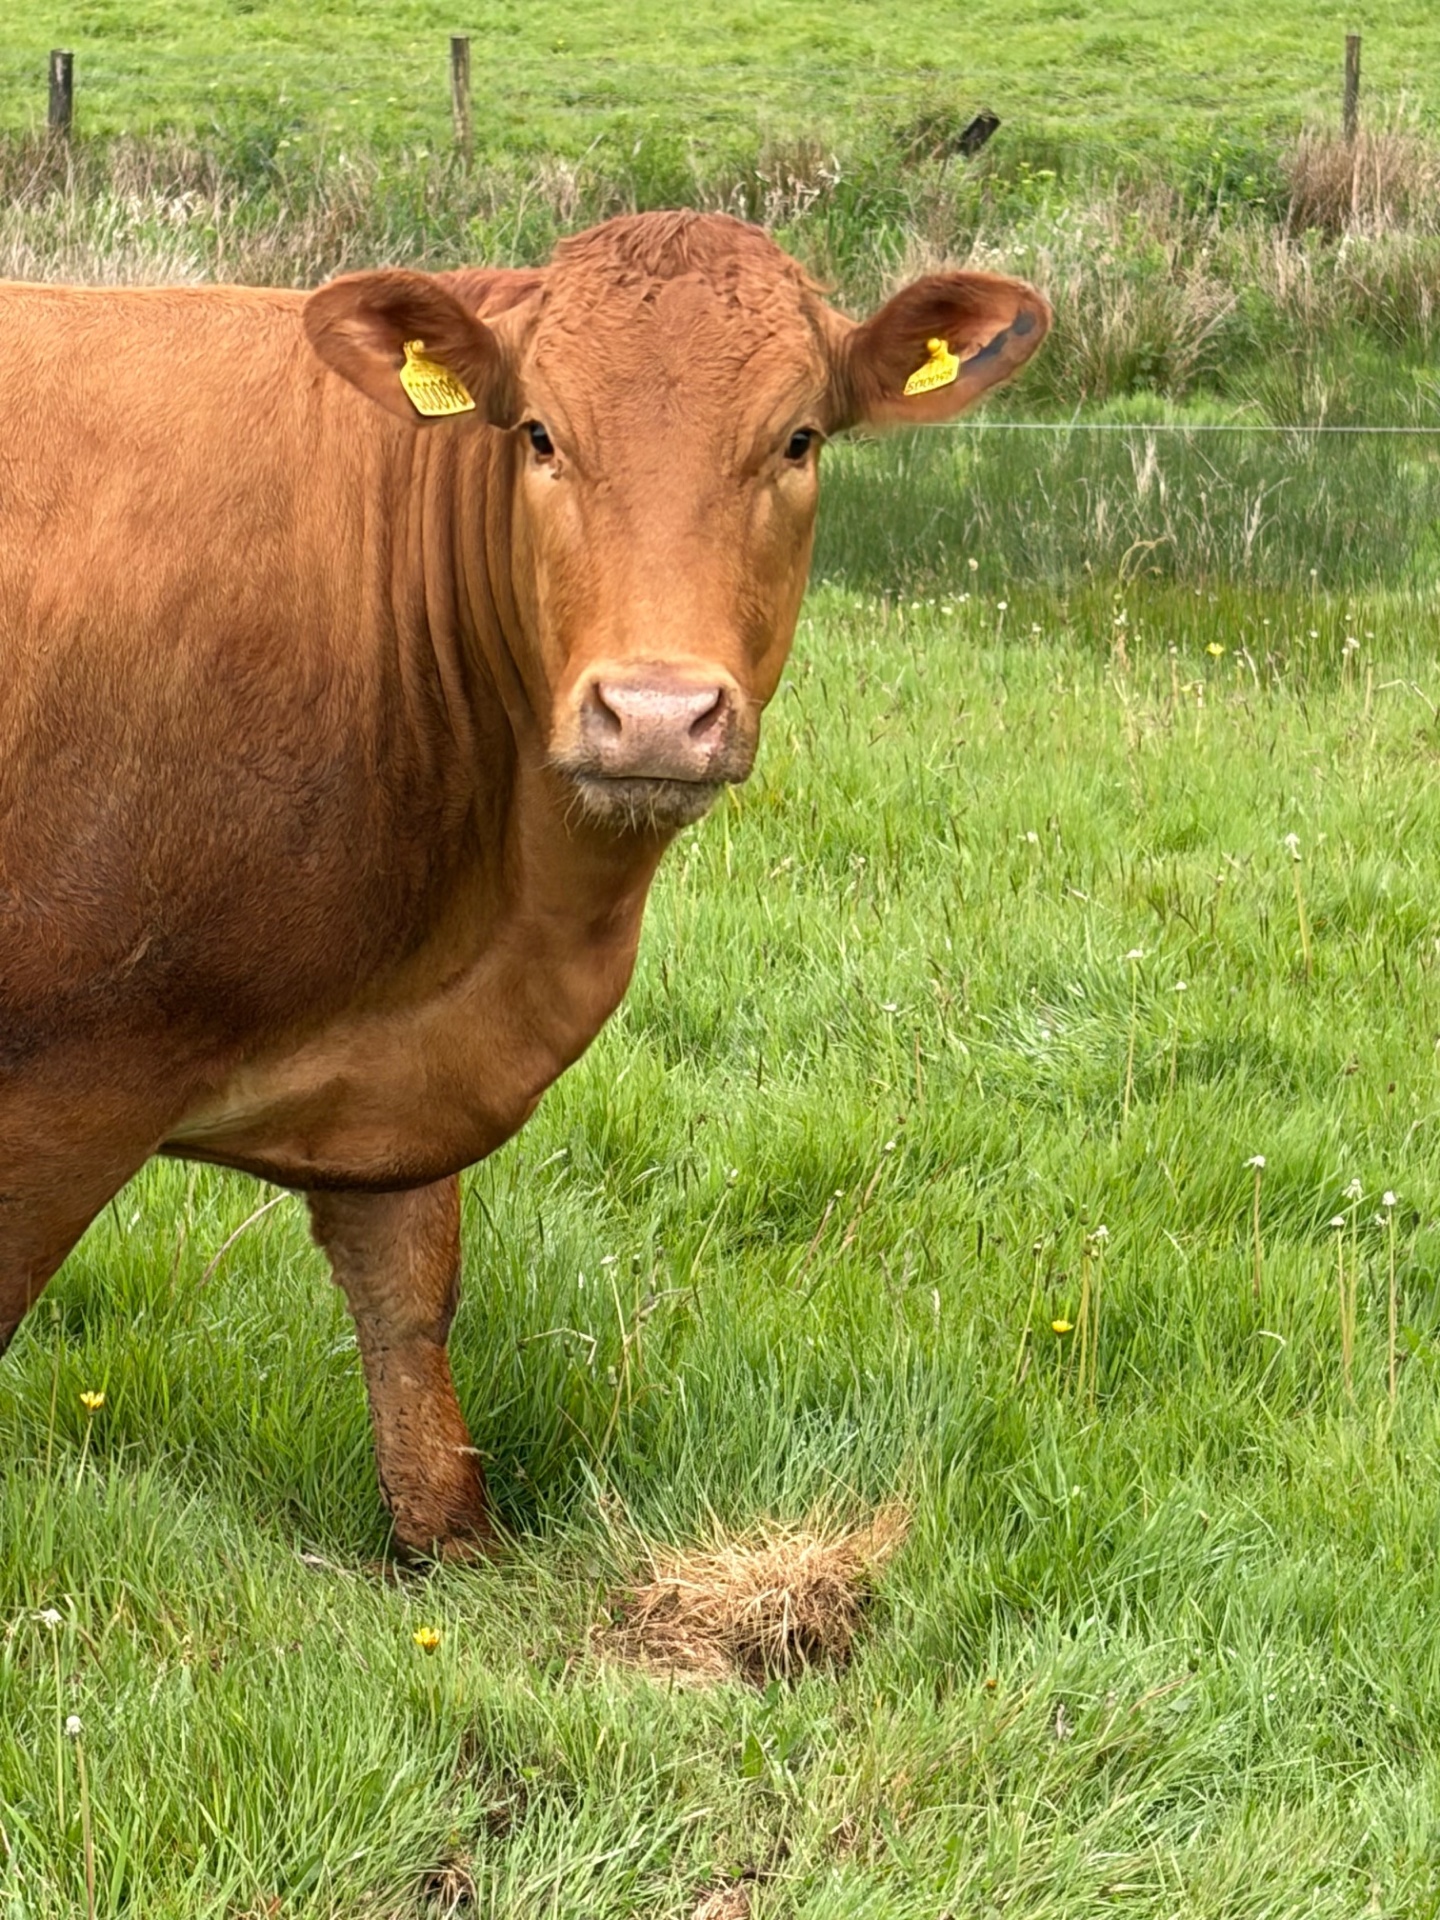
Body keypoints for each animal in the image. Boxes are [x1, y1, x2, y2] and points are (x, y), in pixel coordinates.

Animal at [0, 211, 1048, 1556]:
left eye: (798, 438)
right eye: (541, 434)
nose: (656, 713)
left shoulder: (397, 1067)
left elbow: (408, 1299)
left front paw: (447, 1539)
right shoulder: (67, 1075)